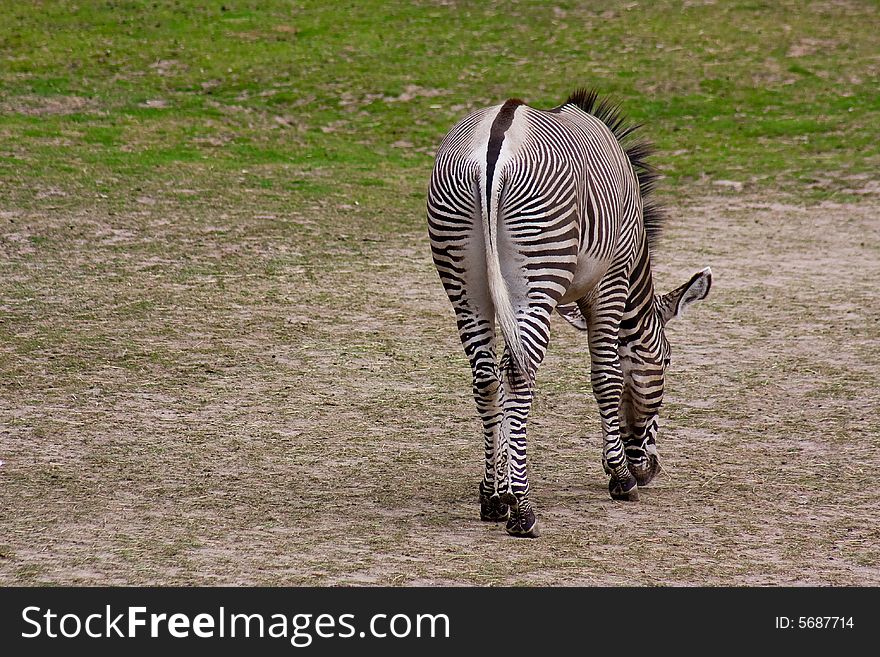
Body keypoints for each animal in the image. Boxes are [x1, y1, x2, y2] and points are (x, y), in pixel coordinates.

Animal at [430, 88, 712, 540]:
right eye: (668, 360)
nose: (650, 469)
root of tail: (495, 141)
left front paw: (500, 486)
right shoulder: (611, 283)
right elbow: (607, 378)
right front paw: (620, 476)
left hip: (466, 287)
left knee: (487, 379)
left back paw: (493, 499)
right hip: (538, 280)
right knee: (518, 375)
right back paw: (523, 511)